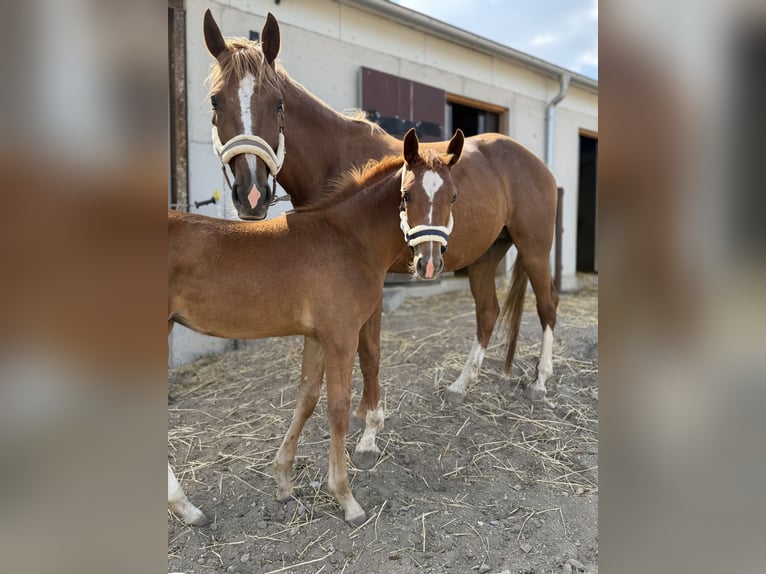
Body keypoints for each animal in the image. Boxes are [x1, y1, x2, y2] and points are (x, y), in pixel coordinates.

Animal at [168, 128, 464, 526]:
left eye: (453, 195)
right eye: (406, 195)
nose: (428, 264)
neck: (347, 238)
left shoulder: (317, 336)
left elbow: (306, 399)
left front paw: (283, 482)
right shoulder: (341, 335)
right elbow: (337, 408)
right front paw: (346, 498)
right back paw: (185, 506)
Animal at [201, 10, 558, 472]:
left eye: (277, 102)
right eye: (216, 101)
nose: (252, 195)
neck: (338, 163)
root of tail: (535, 161)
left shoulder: (372, 283)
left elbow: (369, 352)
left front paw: (370, 430)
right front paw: (363, 415)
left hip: (535, 248)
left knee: (547, 305)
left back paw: (540, 381)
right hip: (485, 256)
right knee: (488, 313)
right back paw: (462, 384)